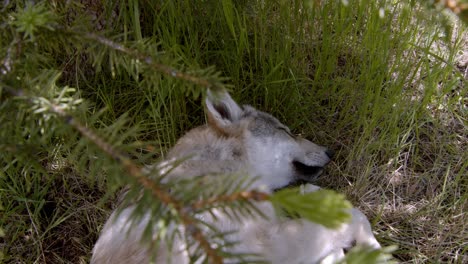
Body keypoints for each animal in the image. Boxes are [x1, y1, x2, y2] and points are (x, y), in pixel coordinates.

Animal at [91, 89, 380, 262]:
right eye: (285, 131)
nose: (331, 152)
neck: (219, 166)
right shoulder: (269, 245)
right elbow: (355, 215)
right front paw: (372, 249)